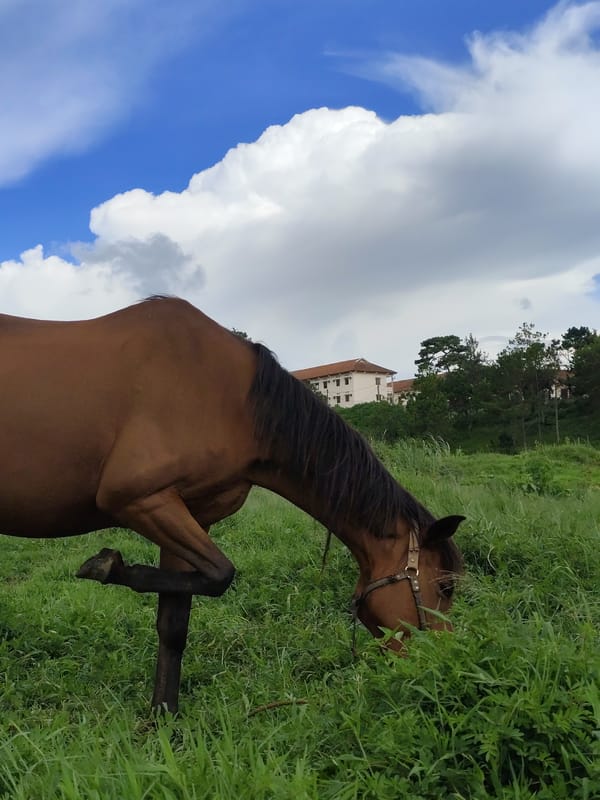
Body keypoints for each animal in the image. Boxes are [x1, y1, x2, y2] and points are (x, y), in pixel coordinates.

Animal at [0, 296, 464, 712]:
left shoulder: (189, 513)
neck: (232, 399)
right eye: (444, 587)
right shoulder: (140, 499)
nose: (441, 663)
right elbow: (222, 575)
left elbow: (176, 620)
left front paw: (163, 719)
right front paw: (106, 566)